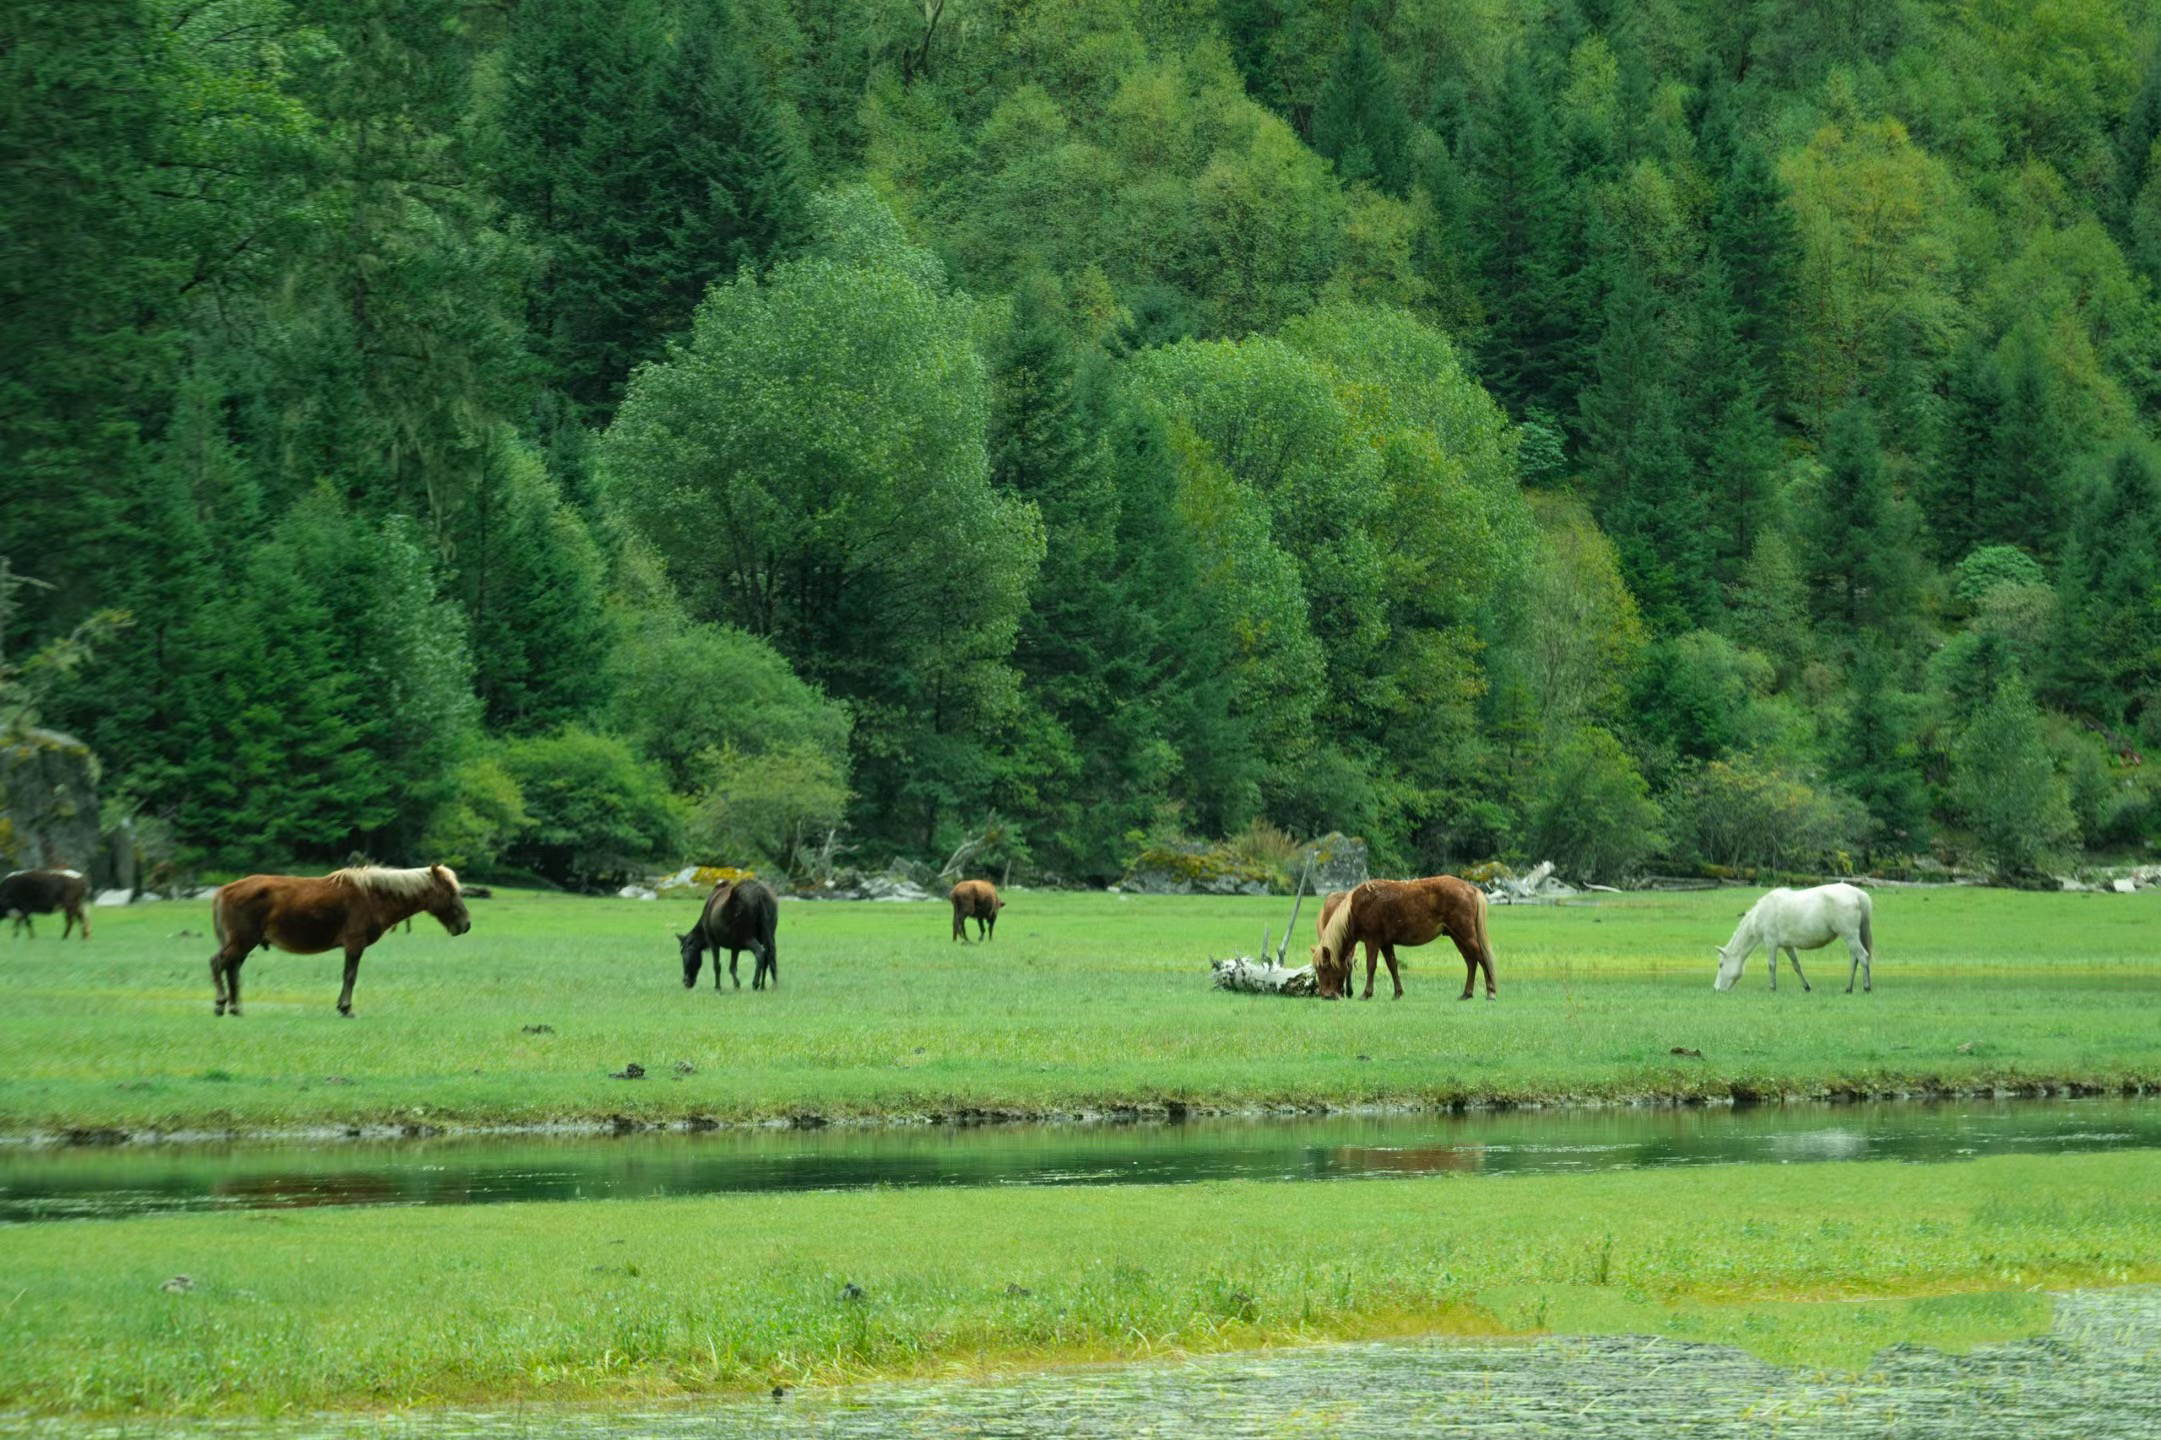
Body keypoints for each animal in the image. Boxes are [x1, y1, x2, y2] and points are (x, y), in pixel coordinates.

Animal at [208, 856, 471, 1016]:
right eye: (451, 891)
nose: (466, 925)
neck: (373, 896)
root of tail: (223, 891)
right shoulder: (354, 945)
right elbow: (350, 976)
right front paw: (346, 1008)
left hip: (243, 944)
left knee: (231, 969)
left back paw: (235, 1008)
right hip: (242, 941)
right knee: (219, 963)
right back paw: (221, 1004)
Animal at [1305, 873, 1495, 998]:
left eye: (1324, 968)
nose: (1325, 995)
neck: (1357, 907)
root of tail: (1470, 888)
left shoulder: (1372, 942)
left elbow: (1371, 966)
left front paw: (1366, 993)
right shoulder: (1385, 943)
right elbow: (1392, 966)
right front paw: (1398, 993)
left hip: (1465, 934)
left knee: (1481, 958)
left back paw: (1490, 992)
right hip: (1457, 936)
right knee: (1471, 962)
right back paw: (1466, 993)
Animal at [1711, 882, 1867, 994]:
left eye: (1721, 965)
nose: (1716, 989)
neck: (1761, 913)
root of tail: (1857, 894)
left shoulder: (1771, 943)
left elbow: (1772, 965)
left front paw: (1772, 987)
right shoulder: (1788, 946)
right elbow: (1796, 966)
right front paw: (1806, 987)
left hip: (1850, 936)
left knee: (1863, 957)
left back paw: (1867, 987)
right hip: (1851, 938)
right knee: (1854, 960)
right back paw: (1849, 988)